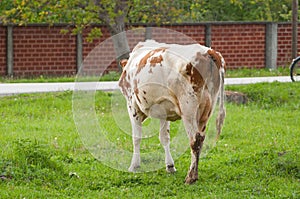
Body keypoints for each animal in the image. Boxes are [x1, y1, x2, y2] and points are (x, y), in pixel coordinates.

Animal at [117, 39, 225, 184]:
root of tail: (208, 51)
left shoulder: (132, 105)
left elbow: (136, 137)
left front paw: (134, 165)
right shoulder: (164, 110)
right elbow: (164, 137)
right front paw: (170, 166)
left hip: (188, 107)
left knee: (195, 139)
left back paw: (190, 177)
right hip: (207, 109)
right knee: (201, 138)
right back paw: (195, 174)